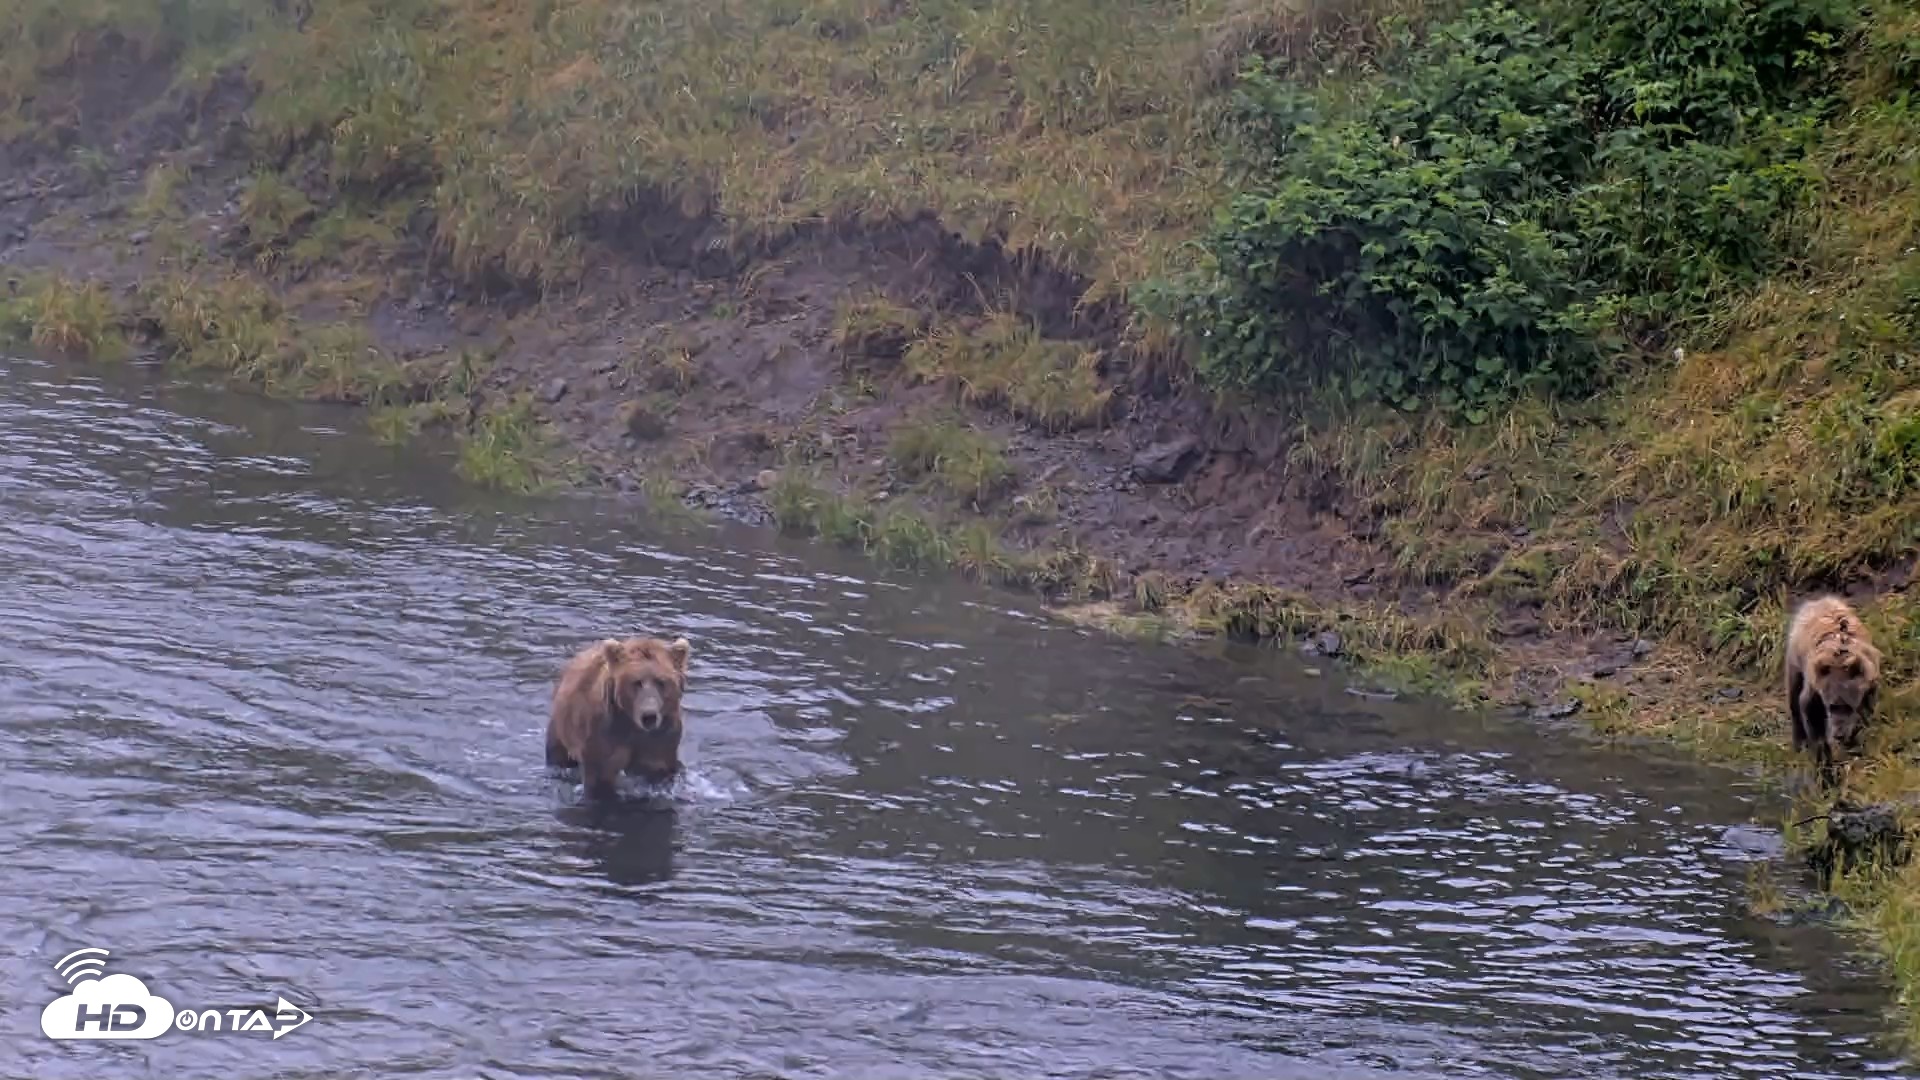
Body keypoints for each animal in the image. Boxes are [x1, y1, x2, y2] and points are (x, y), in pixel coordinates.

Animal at [546, 635, 692, 802]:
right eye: (637, 682)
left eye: (661, 681)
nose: (649, 716)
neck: (632, 724)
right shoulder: (603, 736)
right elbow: (599, 779)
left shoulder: (660, 740)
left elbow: (658, 770)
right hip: (561, 729)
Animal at [1784, 595, 1882, 775]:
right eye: (1832, 706)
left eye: (1849, 706)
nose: (1839, 735)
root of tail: (1817, 600)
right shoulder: (1816, 685)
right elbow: (1810, 711)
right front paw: (1823, 760)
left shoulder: (1869, 684)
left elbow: (1866, 711)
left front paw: (1854, 741)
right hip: (1794, 659)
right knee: (1793, 695)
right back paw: (1799, 742)